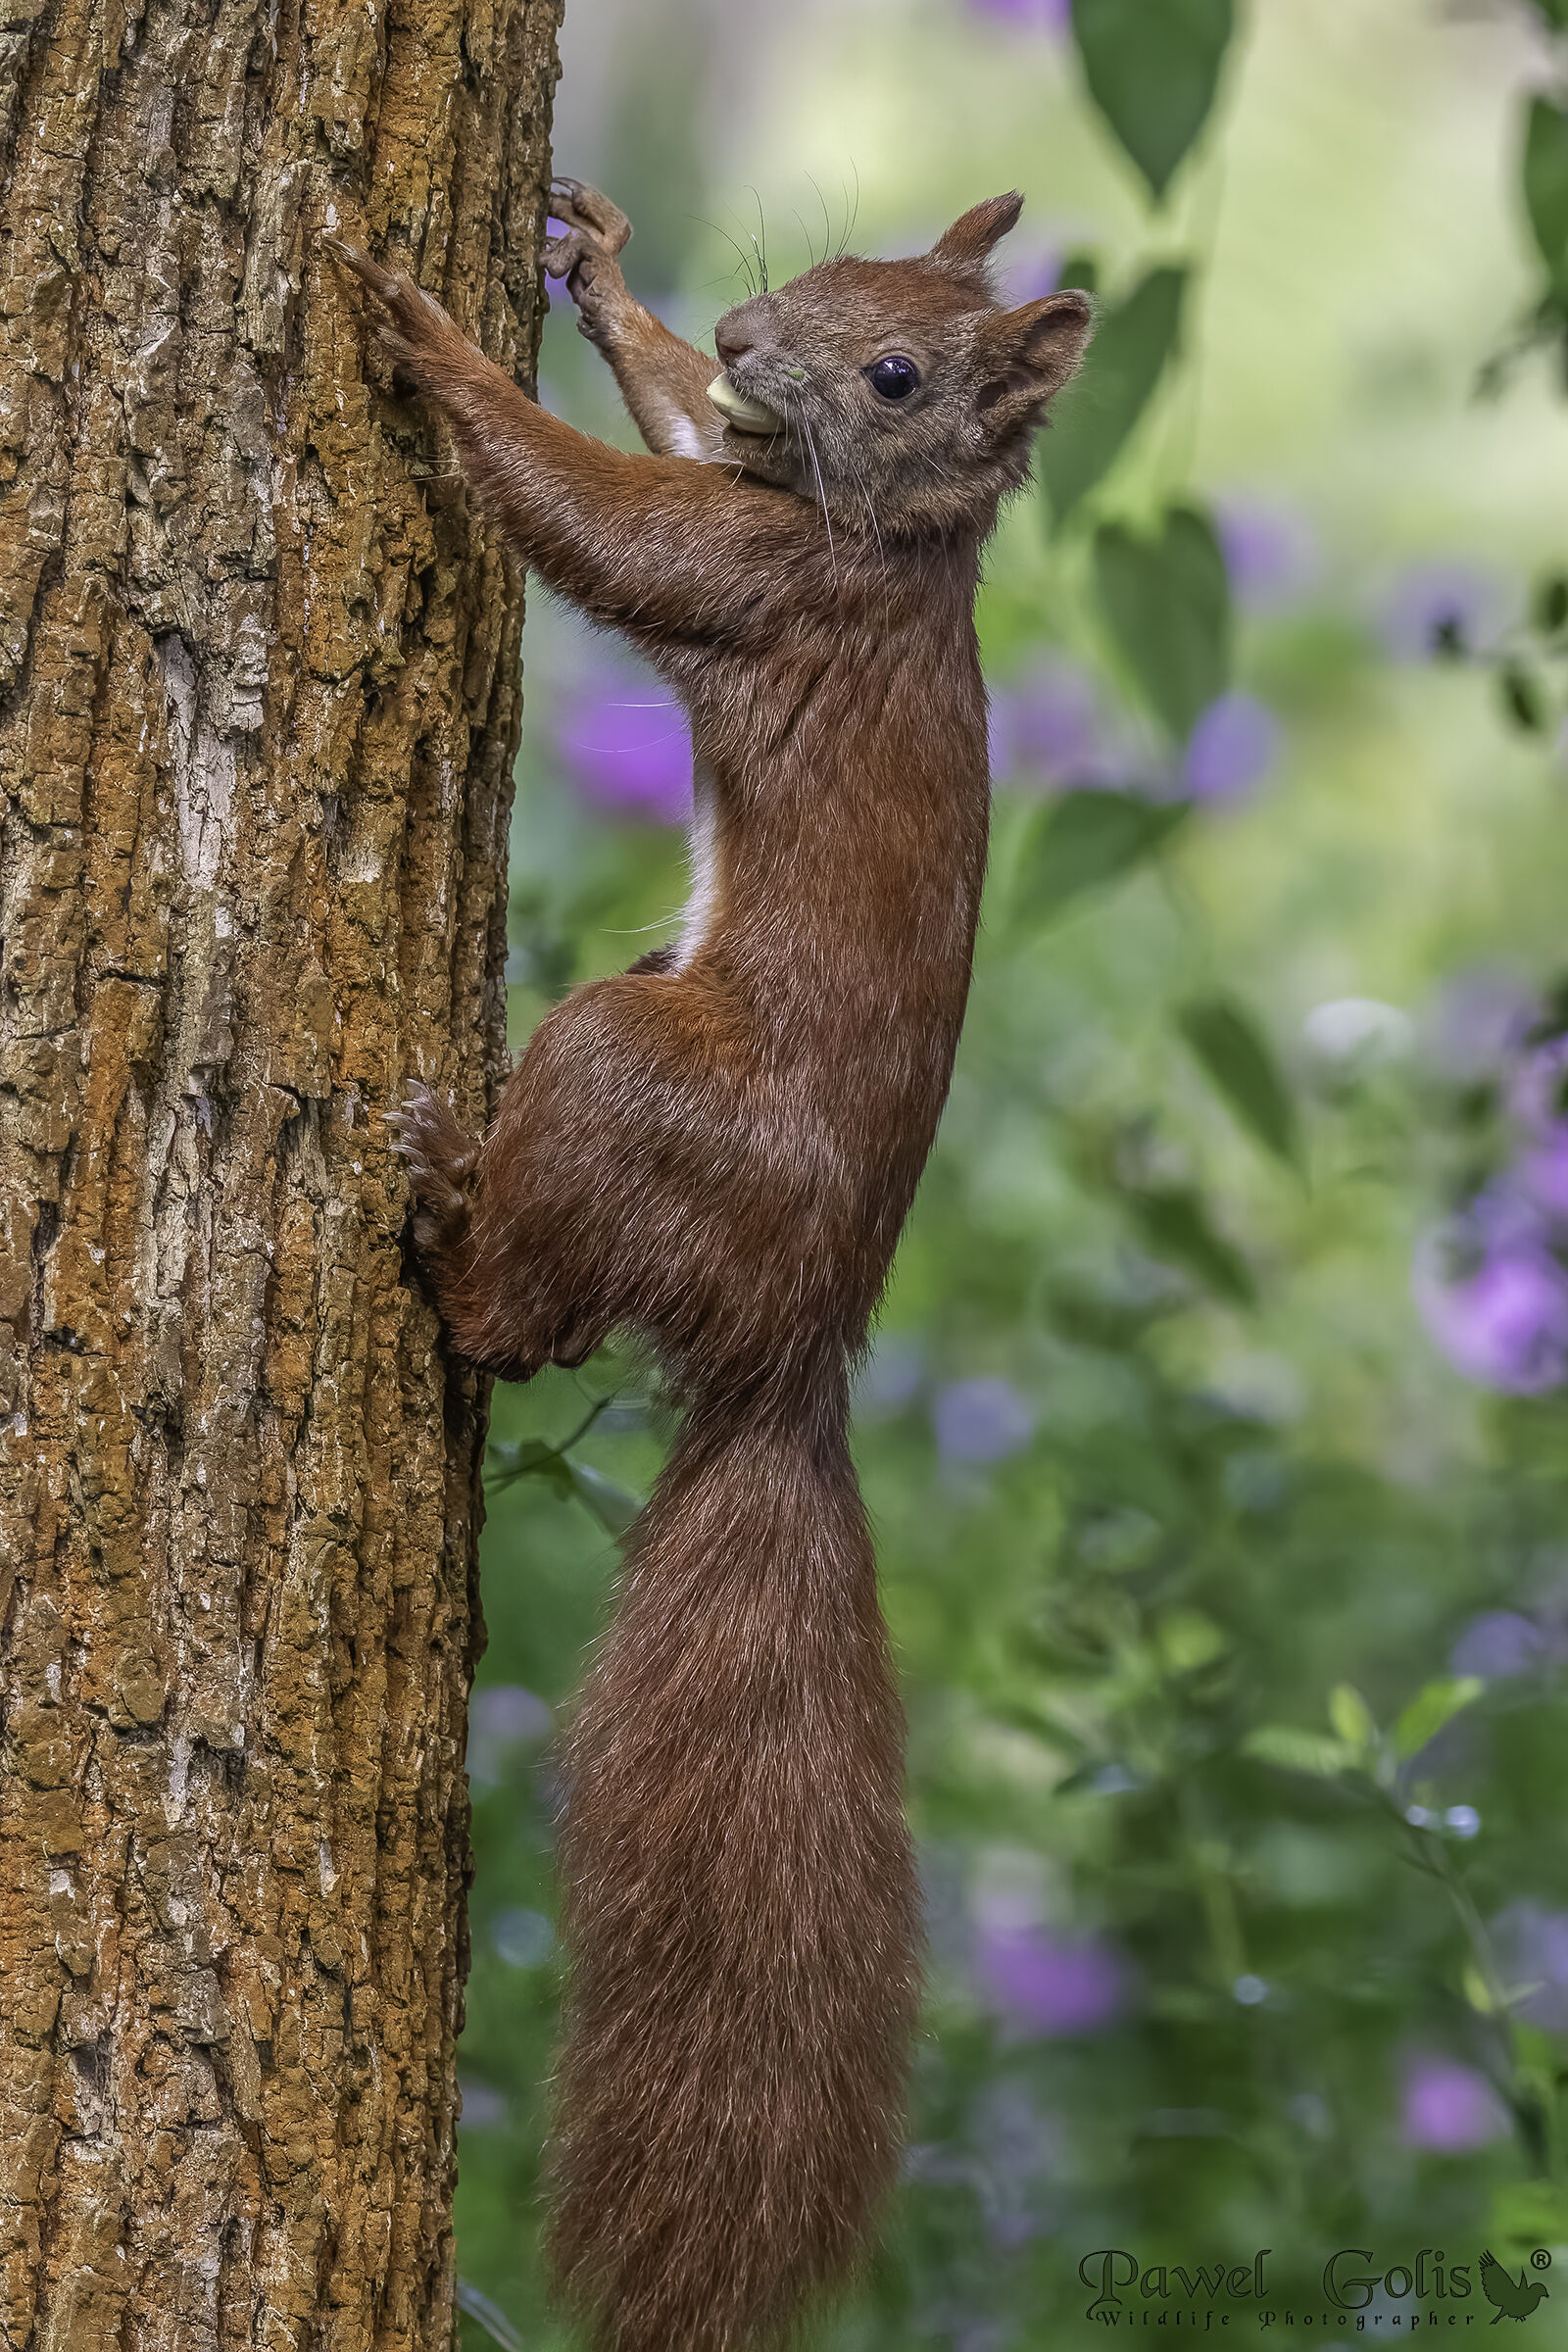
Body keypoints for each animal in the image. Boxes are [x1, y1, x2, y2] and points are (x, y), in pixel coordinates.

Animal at [326, 180, 1091, 2352]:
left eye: (902, 369)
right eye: (828, 283)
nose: (759, 335)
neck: (900, 549)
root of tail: (794, 1343)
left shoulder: (768, 584)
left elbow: (604, 519)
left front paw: (432, 334)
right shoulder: (750, 486)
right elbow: (672, 432)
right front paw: (595, 271)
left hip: (626, 1068)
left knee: (524, 1320)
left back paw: (443, 1209)